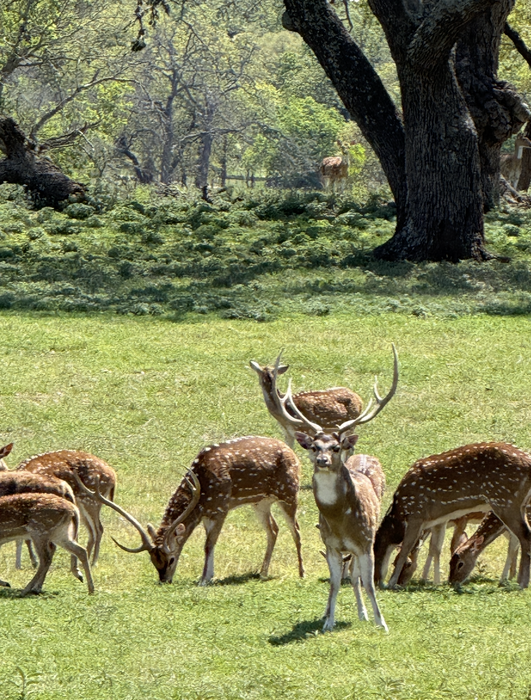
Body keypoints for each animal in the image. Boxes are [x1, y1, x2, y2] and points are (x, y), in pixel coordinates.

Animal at [74, 436, 304, 585]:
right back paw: (262, 572)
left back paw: (301, 572)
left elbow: (208, 544)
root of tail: (292, 452)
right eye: (152, 560)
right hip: (261, 502)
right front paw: (209, 575)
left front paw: (204, 578)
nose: (164, 580)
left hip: (288, 491)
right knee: (273, 529)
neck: (202, 492)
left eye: (171, 559)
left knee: (296, 529)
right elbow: (209, 544)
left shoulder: (221, 506)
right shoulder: (206, 513)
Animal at [265, 345, 398, 631]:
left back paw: (364, 614)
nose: (322, 460)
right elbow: (336, 584)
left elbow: (369, 583)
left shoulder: (365, 541)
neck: (340, 519)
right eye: (315, 446)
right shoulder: (330, 545)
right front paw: (328, 620)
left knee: (358, 578)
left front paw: (381, 622)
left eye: (335, 447)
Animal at [374, 442, 531, 590]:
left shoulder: (416, 515)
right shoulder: (437, 519)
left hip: (505, 500)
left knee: (525, 536)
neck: (400, 511)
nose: (376, 581)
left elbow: (406, 548)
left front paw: (392, 583)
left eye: (375, 553)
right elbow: (435, 548)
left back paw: (521, 583)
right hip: (518, 505)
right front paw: (432, 582)